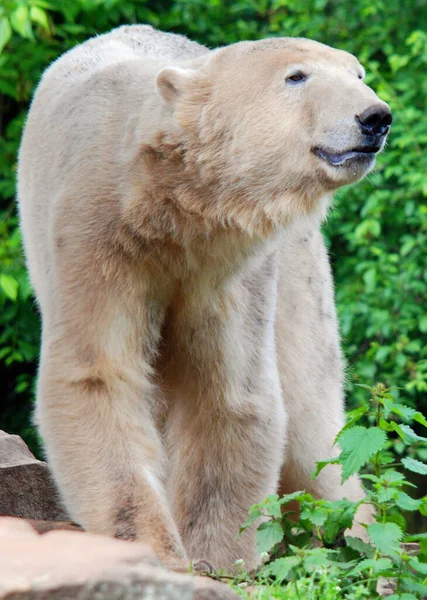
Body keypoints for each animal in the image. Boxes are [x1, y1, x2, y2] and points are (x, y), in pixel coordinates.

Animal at [19, 25, 392, 568]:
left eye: (358, 74)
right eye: (296, 76)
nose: (375, 117)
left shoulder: (232, 263)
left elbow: (229, 393)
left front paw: (217, 559)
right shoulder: (96, 235)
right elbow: (98, 375)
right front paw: (157, 550)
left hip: (300, 266)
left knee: (314, 421)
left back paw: (363, 539)